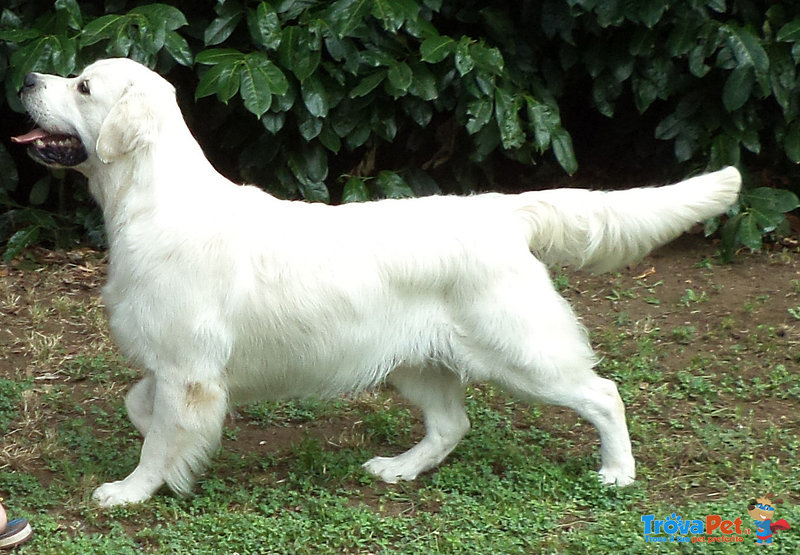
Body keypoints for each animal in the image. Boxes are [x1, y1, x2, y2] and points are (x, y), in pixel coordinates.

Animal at [12, 58, 740, 506]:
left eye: (83, 86)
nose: (24, 79)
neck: (151, 200)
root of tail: (500, 209)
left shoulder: (187, 367)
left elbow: (161, 435)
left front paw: (132, 489)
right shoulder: (177, 368)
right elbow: (143, 407)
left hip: (521, 350)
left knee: (603, 393)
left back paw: (617, 471)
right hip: (416, 360)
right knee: (451, 423)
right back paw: (399, 468)